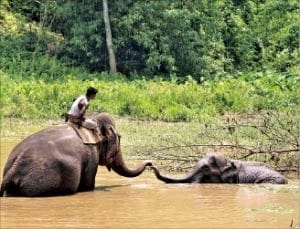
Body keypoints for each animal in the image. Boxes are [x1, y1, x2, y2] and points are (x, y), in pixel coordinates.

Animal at [0, 112, 152, 197]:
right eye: (119, 137)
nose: (150, 163)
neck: (90, 121)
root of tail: (13, 169)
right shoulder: (91, 156)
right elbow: (88, 186)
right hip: (36, 185)